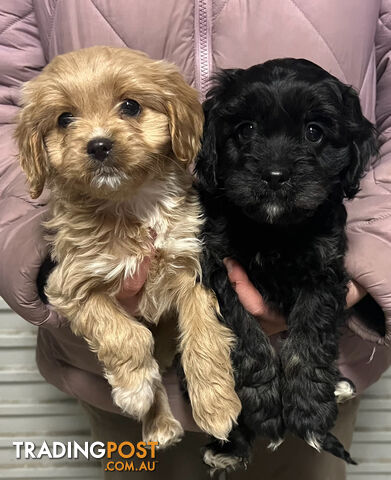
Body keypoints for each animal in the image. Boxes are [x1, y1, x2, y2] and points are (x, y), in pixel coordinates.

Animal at [198, 57, 378, 472]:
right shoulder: (217, 267)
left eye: (314, 132)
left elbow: (309, 333)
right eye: (245, 129)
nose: (275, 176)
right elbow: (244, 331)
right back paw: (228, 449)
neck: (274, 231)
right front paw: (264, 402)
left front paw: (308, 407)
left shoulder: (326, 268)